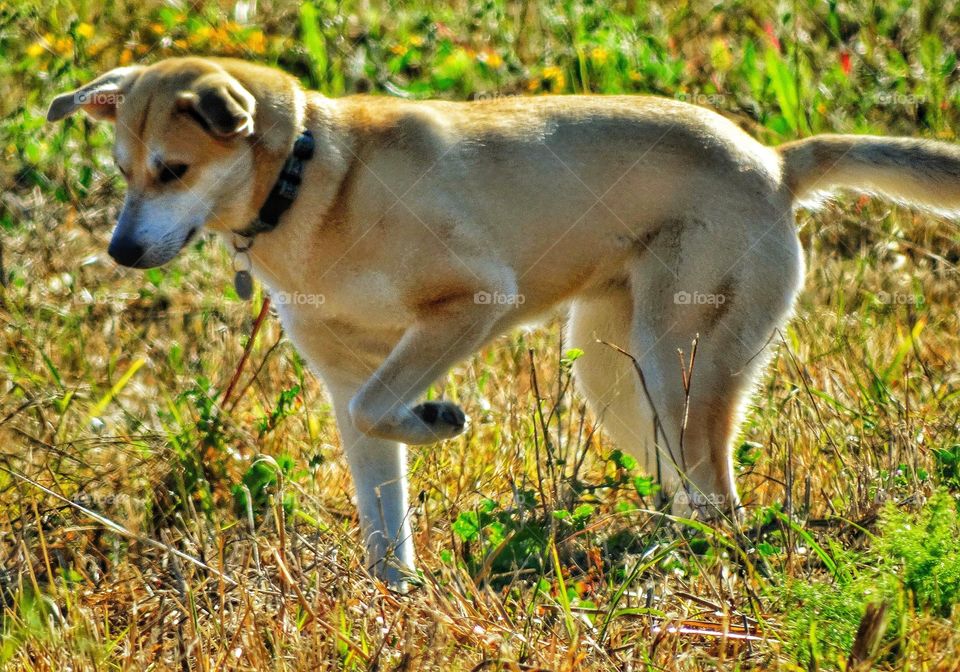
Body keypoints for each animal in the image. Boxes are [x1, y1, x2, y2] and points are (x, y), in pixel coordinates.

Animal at [48, 57, 960, 584]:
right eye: (124, 171)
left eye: (173, 169)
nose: (120, 250)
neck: (309, 186)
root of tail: (773, 161)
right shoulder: (345, 379)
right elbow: (382, 508)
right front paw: (394, 605)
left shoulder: (473, 301)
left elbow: (386, 405)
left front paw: (438, 418)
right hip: (615, 376)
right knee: (688, 491)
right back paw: (660, 554)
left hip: (680, 362)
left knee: (718, 497)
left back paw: (684, 565)